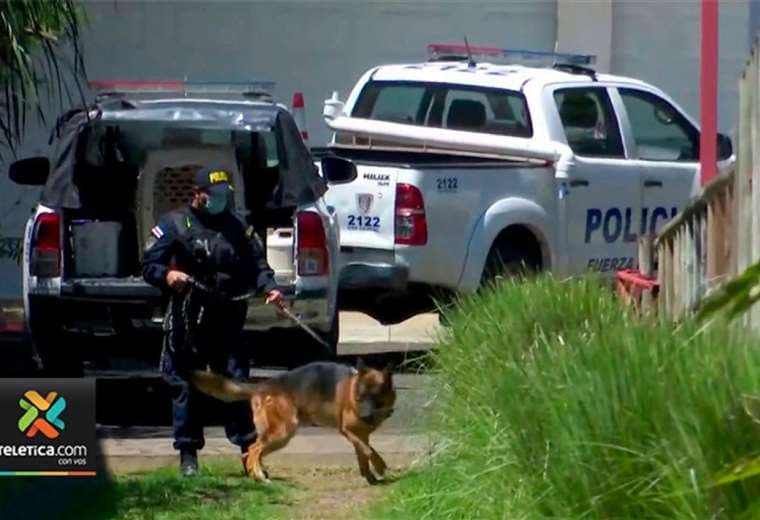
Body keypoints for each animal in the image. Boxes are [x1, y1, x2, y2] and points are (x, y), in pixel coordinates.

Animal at [191, 359, 396, 484]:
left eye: (376, 398)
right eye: (360, 398)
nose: (365, 416)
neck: (351, 392)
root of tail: (260, 387)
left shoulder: (361, 435)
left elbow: (364, 453)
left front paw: (369, 476)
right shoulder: (348, 430)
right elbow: (369, 451)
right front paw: (380, 467)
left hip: (280, 435)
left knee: (252, 451)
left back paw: (256, 476)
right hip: (284, 431)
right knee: (254, 449)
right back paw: (260, 477)